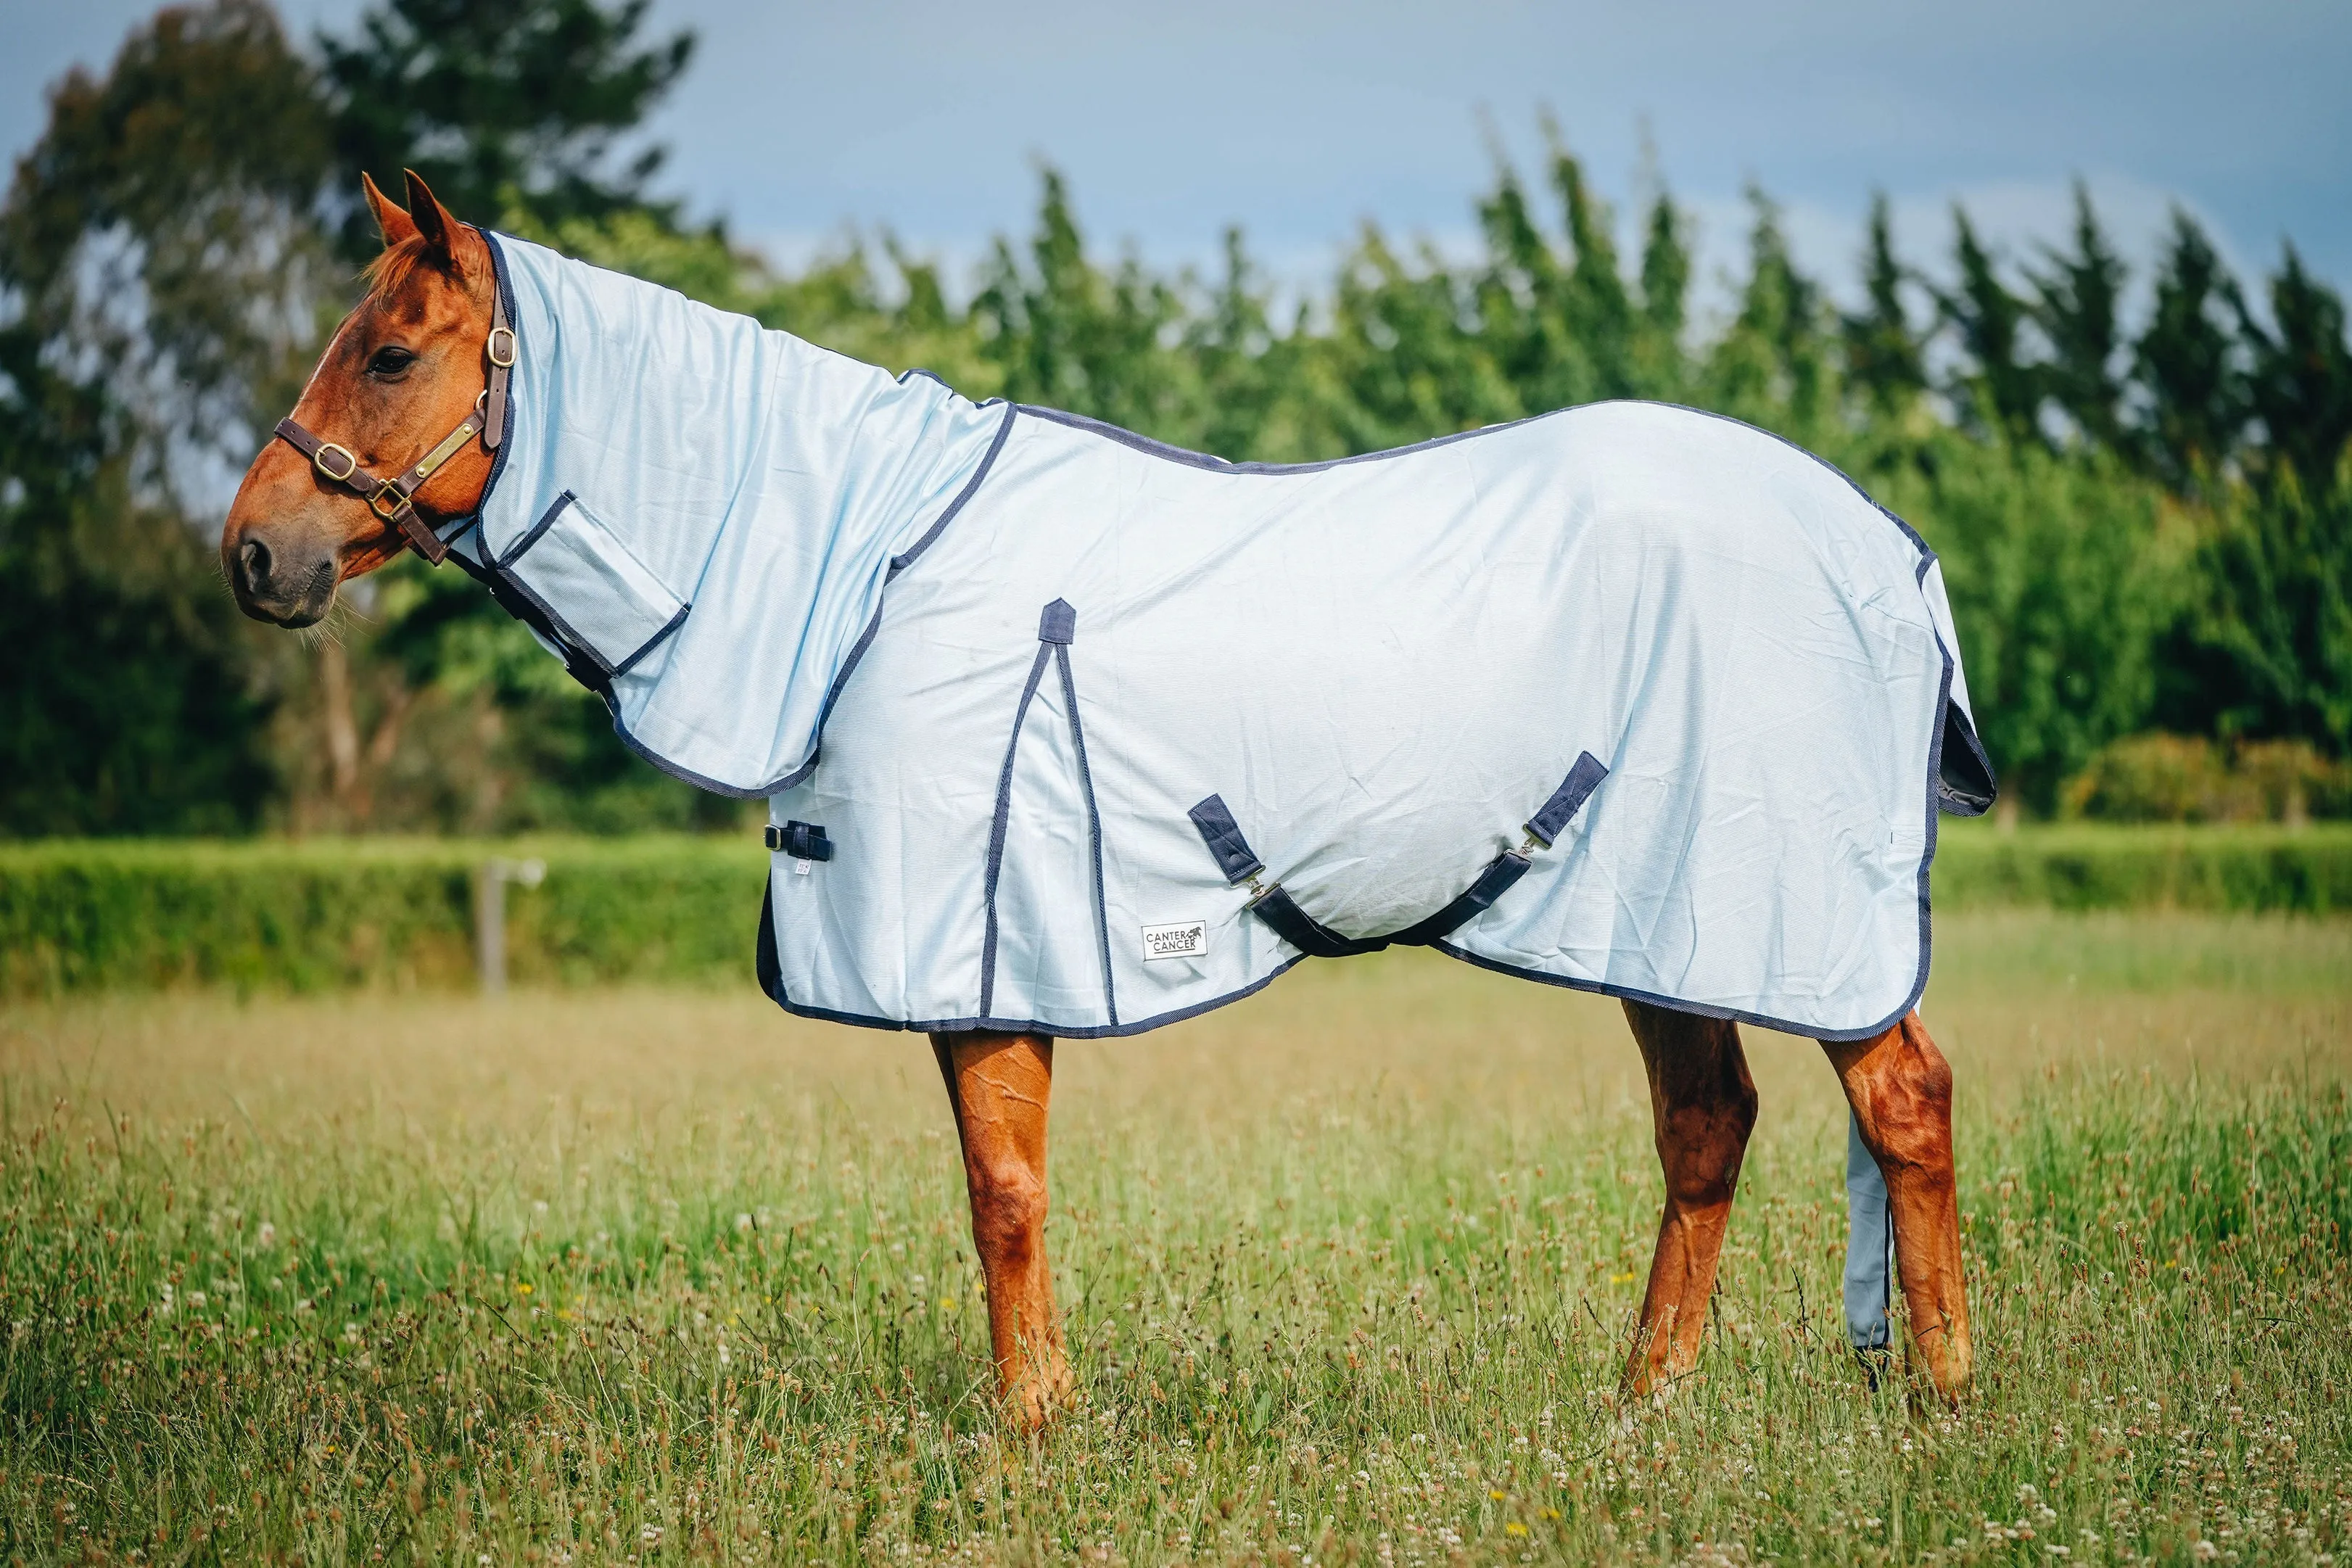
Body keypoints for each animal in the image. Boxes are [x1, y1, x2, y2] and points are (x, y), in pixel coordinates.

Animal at [229, 175, 1976, 1419]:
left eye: (390, 352)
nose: (255, 551)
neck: (869, 564)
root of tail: (1889, 551)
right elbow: (1000, 1190)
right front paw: (1042, 1411)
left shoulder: (977, 946)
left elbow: (1001, 1195)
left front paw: (1028, 1428)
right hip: (1647, 916)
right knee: (1708, 1123)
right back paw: (1643, 1402)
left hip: (1780, 914)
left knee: (1898, 1101)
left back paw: (1941, 1397)